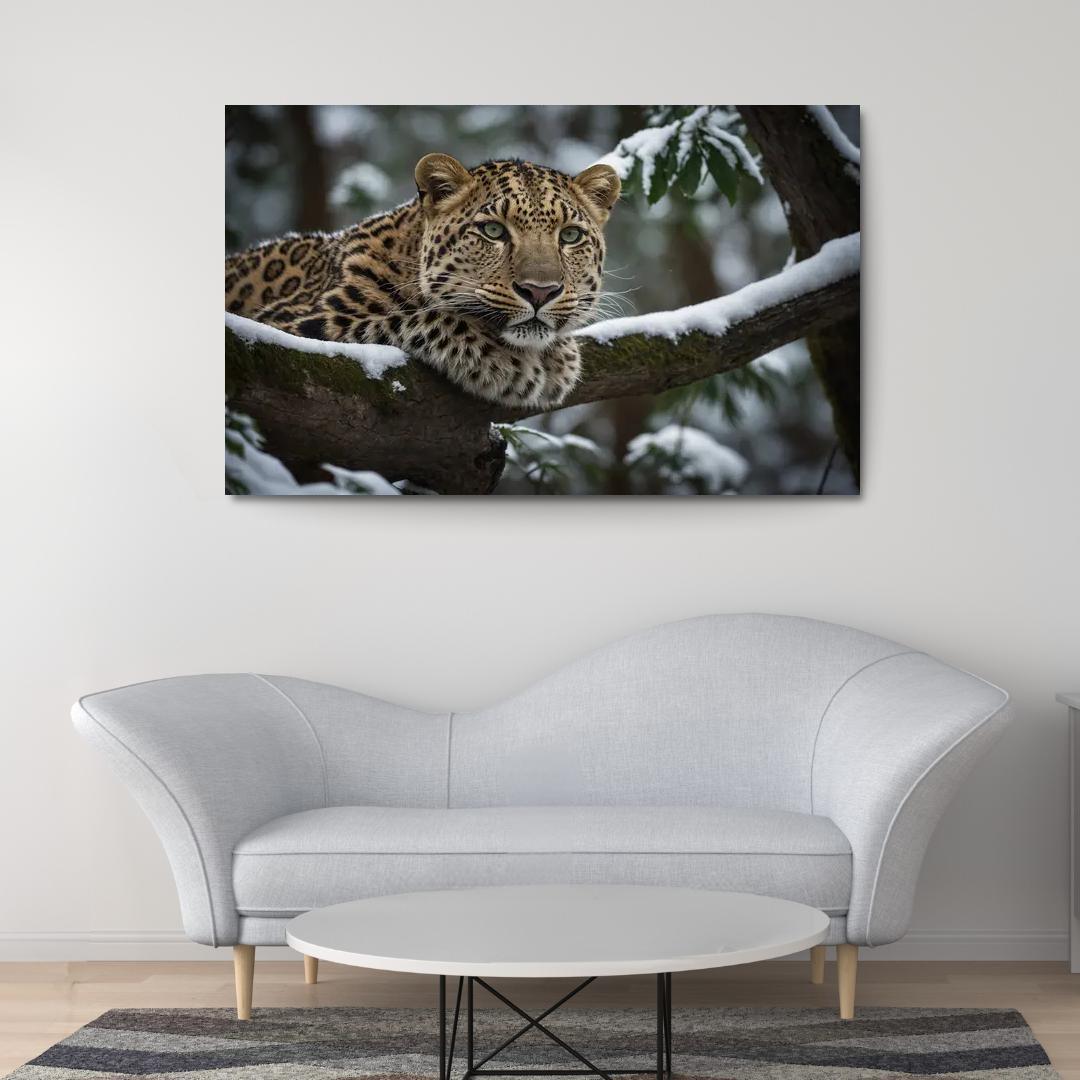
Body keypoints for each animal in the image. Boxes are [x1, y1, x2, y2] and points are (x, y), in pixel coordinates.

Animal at [225, 154, 621, 410]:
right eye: (493, 231)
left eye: (570, 236)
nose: (540, 291)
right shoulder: (288, 325)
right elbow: (412, 317)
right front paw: (505, 362)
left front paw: (561, 355)